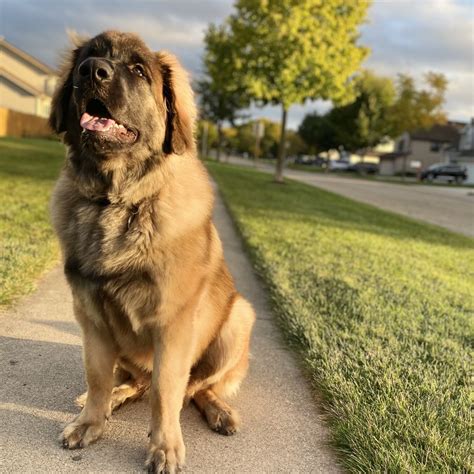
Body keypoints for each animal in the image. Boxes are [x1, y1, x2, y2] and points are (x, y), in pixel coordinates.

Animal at [48, 31, 256, 472]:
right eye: (89, 55)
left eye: (139, 70)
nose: (91, 71)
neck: (118, 201)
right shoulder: (91, 317)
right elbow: (97, 374)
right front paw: (91, 420)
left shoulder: (172, 325)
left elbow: (166, 390)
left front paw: (165, 447)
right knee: (136, 382)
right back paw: (112, 398)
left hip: (239, 319)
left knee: (197, 388)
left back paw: (219, 411)